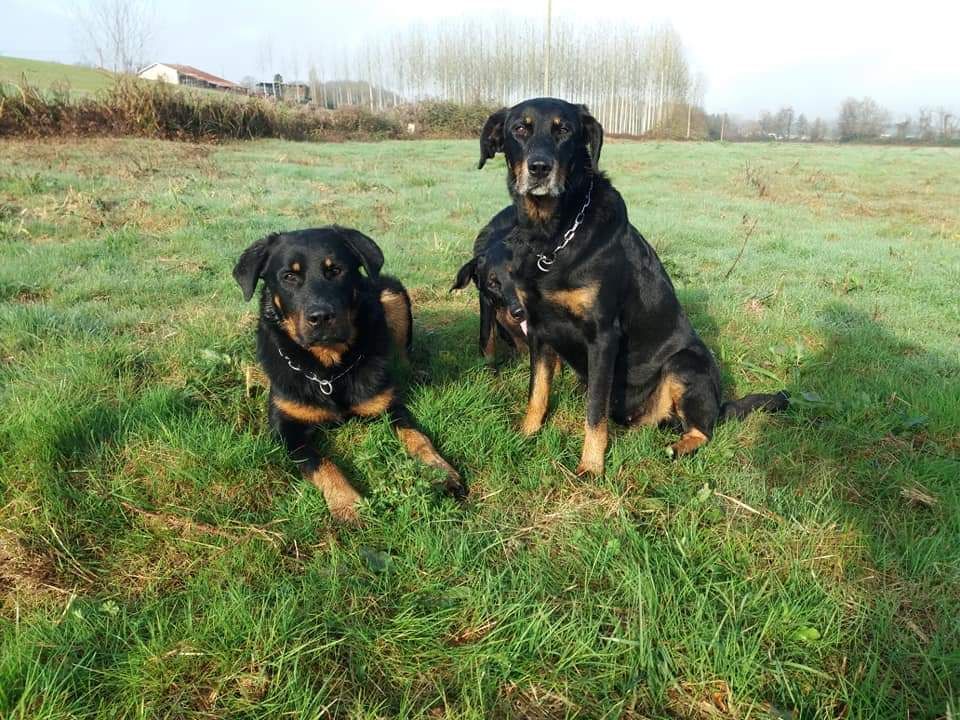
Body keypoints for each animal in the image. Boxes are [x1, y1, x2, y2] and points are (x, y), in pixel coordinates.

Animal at [236, 225, 468, 524]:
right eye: (289, 276)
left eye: (336, 270)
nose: (321, 317)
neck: (329, 372)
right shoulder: (285, 429)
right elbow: (322, 463)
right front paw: (347, 503)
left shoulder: (390, 406)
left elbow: (418, 438)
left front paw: (440, 471)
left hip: (391, 293)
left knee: (403, 354)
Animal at [478, 98, 788, 476]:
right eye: (519, 129)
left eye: (564, 130)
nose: (539, 167)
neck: (552, 238)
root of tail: (720, 402)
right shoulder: (538, 328)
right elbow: (537, 391)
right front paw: (526, 434)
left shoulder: (603, 336)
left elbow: (594, 411)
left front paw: (591, 467)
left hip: (685, 364)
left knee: (704, 430)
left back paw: (677, 447)